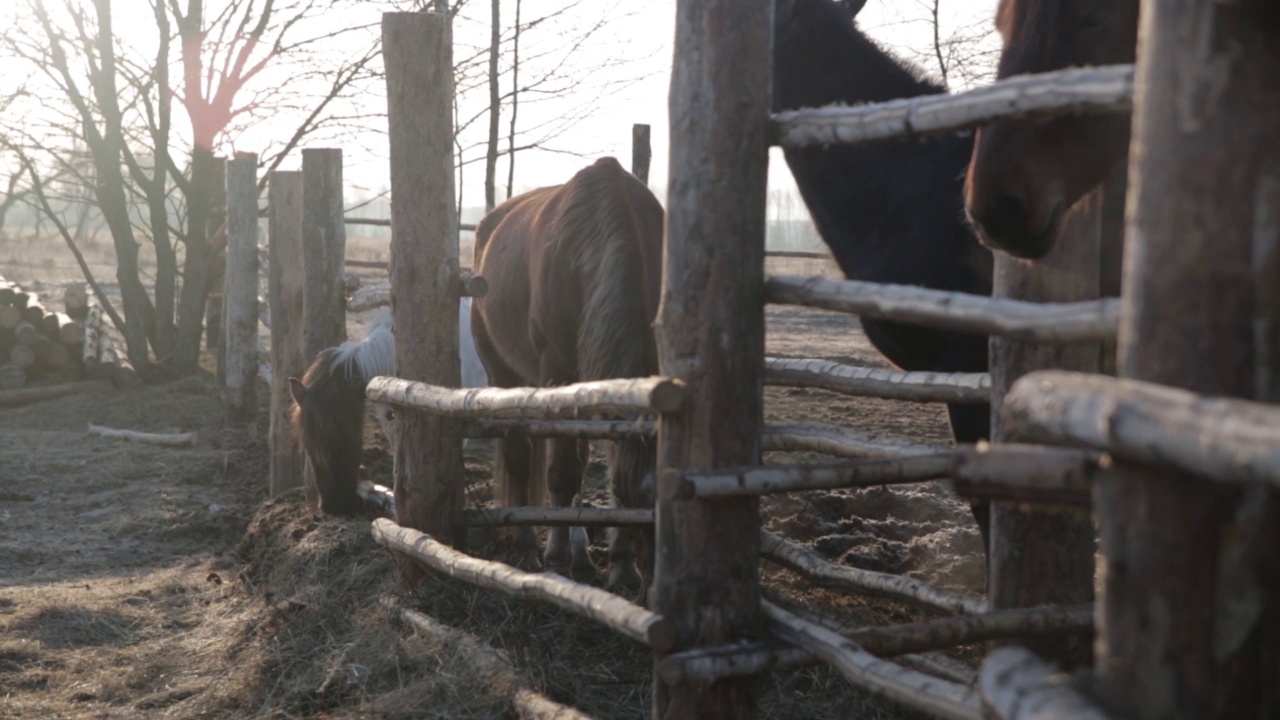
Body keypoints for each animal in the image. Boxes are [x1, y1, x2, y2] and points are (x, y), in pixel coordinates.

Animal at [476, 156, 665, 589]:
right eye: (637, 502)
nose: (656, 585)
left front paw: (620, 564)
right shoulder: (558, 372)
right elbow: (562, 472)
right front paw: (557, 557)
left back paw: (581, 556)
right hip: (505, 374)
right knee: (522, 455)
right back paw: (529, 547)